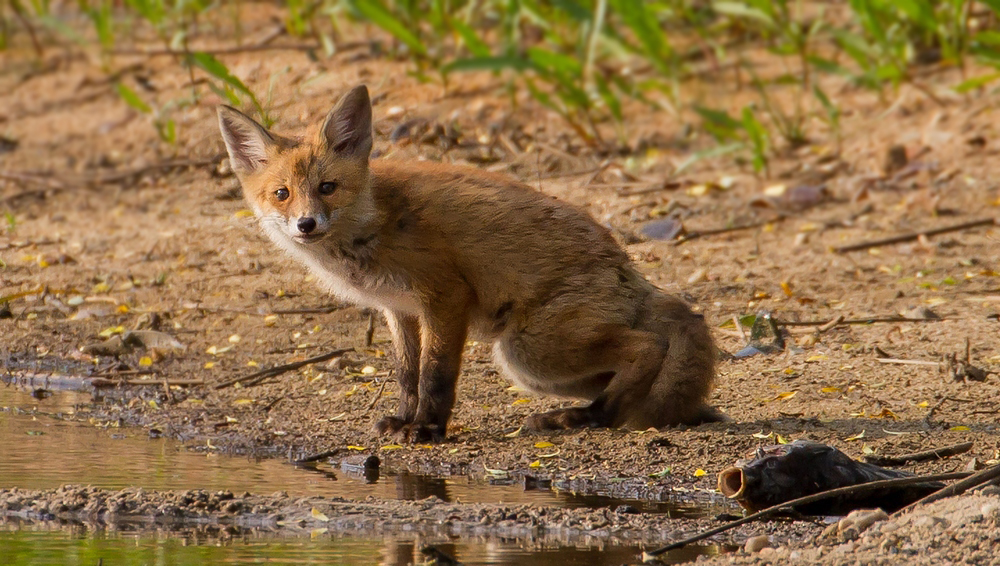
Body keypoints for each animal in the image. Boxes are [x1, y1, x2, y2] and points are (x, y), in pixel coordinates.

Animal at [215, 86, 724, 446]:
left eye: (327, 187)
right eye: (282, 193)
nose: (306, 224)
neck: (374, 222)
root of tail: (631, 272)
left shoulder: (445, 296)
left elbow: (436, 374)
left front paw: (427, 430)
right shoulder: (399, 309)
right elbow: (407, 375)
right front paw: (404, 419)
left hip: (531, 349)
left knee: (646, 345)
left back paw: (594, 416)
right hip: (537, 367)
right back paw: (595, 415)